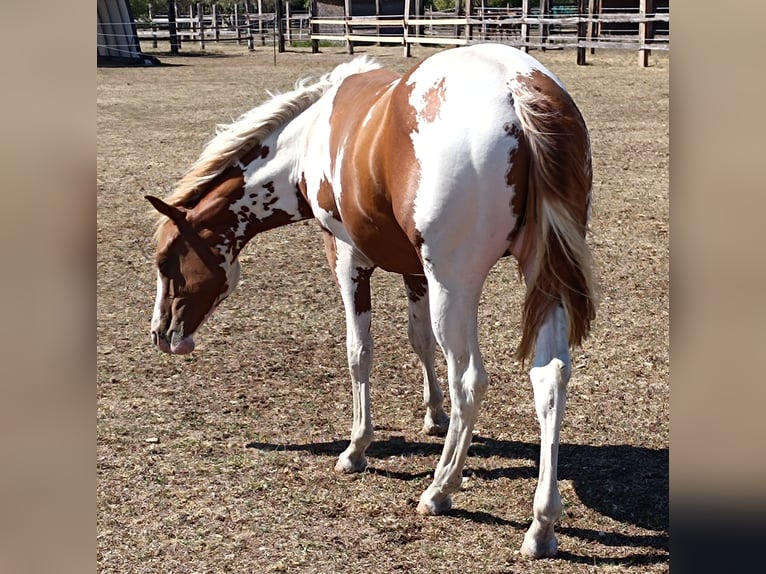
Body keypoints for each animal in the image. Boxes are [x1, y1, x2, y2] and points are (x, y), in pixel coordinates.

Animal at [146, 43, 597, 558]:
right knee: (549, 378)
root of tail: (516, 85)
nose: (162, 334)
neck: (309, 136)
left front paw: (356, 448)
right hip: (542, 277)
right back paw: (541, 525)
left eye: (166, 261)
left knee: (469, 380)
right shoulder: (413, 271)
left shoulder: (347, 258)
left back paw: (440, 489)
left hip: (455, 284)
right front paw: (433, 415)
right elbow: (418, 341)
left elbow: (359, 352)